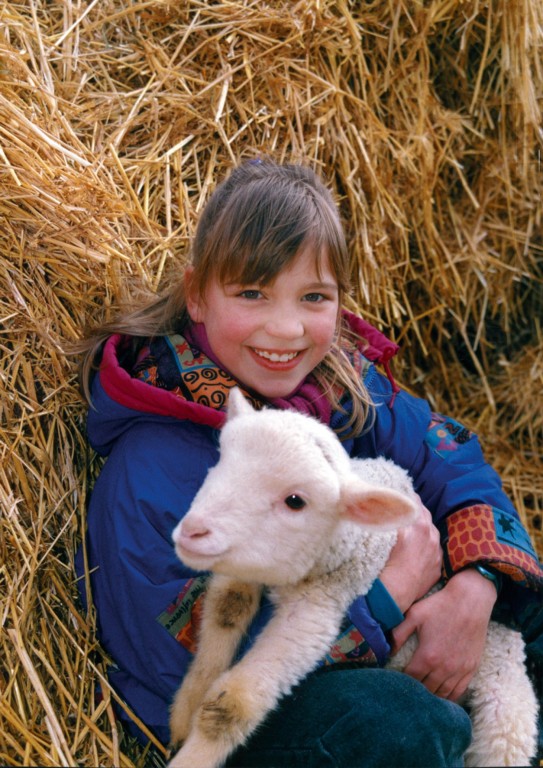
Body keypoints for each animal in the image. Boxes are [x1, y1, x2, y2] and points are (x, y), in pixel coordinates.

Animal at [168, 388, 536, 768]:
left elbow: (231, 707)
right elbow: (227, 609)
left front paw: (191, 756)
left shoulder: (320, 606)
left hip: (506, 715)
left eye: (295, 501)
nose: (192, 531)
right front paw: (186, 707)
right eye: (221, 459)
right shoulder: (247, 564)